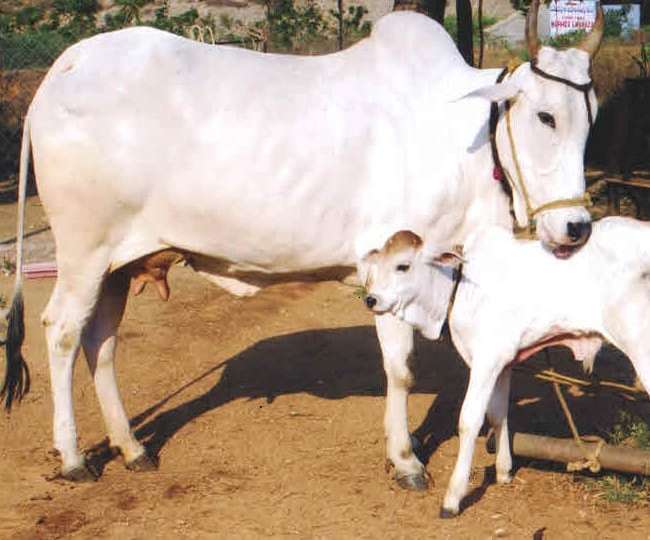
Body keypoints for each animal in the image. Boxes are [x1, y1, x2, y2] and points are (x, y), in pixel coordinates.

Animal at [3, 6, 604, 486]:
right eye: (545, 115)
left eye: (590, 117)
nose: (576, 227)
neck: (467, 141)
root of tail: (65, 66)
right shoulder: (393, 259)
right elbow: (400, 368)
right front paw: (405, 460)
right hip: (83, 251)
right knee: (62, 332)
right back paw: (74, 457)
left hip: (119, 264)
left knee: (100, 342)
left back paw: (131, 447)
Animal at [362, 217, 648, 516]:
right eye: (377, 263)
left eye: (403, 266)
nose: (370, 299)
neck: (461, 285)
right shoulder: (504, 362)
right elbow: (498, 413)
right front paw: (503, 471)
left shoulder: (486, 360)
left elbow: (469, 420)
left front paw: (453, 497)